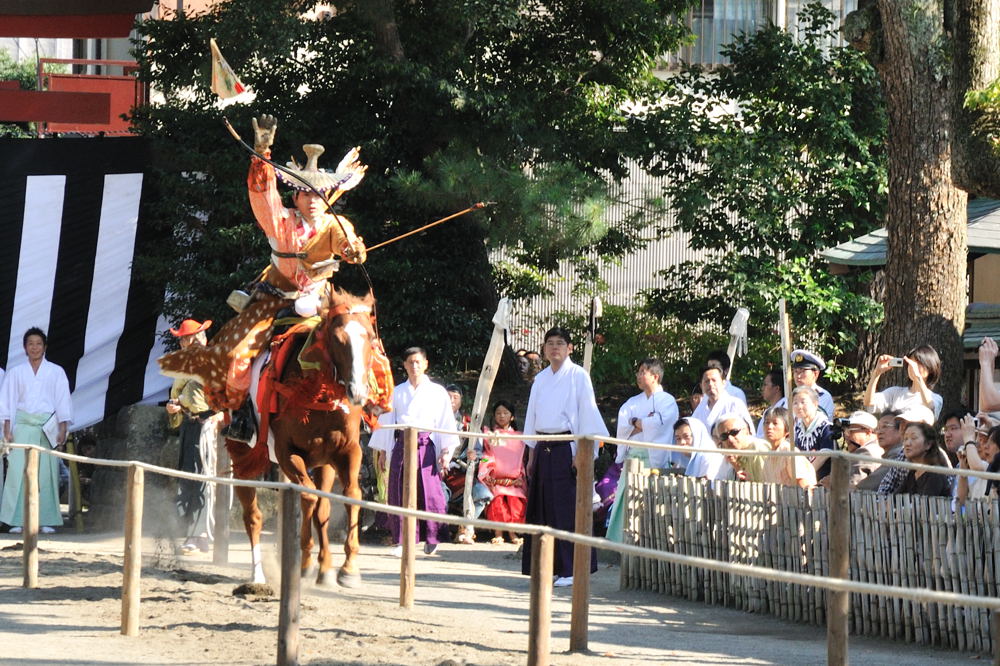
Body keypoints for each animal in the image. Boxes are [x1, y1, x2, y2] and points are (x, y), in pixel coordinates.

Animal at [227, 286, 376, 588]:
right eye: (338, 338)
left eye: (368, 335)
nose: (357, 392)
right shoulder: (287, 452)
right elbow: (307, 498)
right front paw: (306, 564)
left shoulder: (346, 451)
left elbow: (349, 495)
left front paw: (347, 568)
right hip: (243, 455)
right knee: (254, 516)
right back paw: (258, 575)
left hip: (323, 463)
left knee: (323, 507)